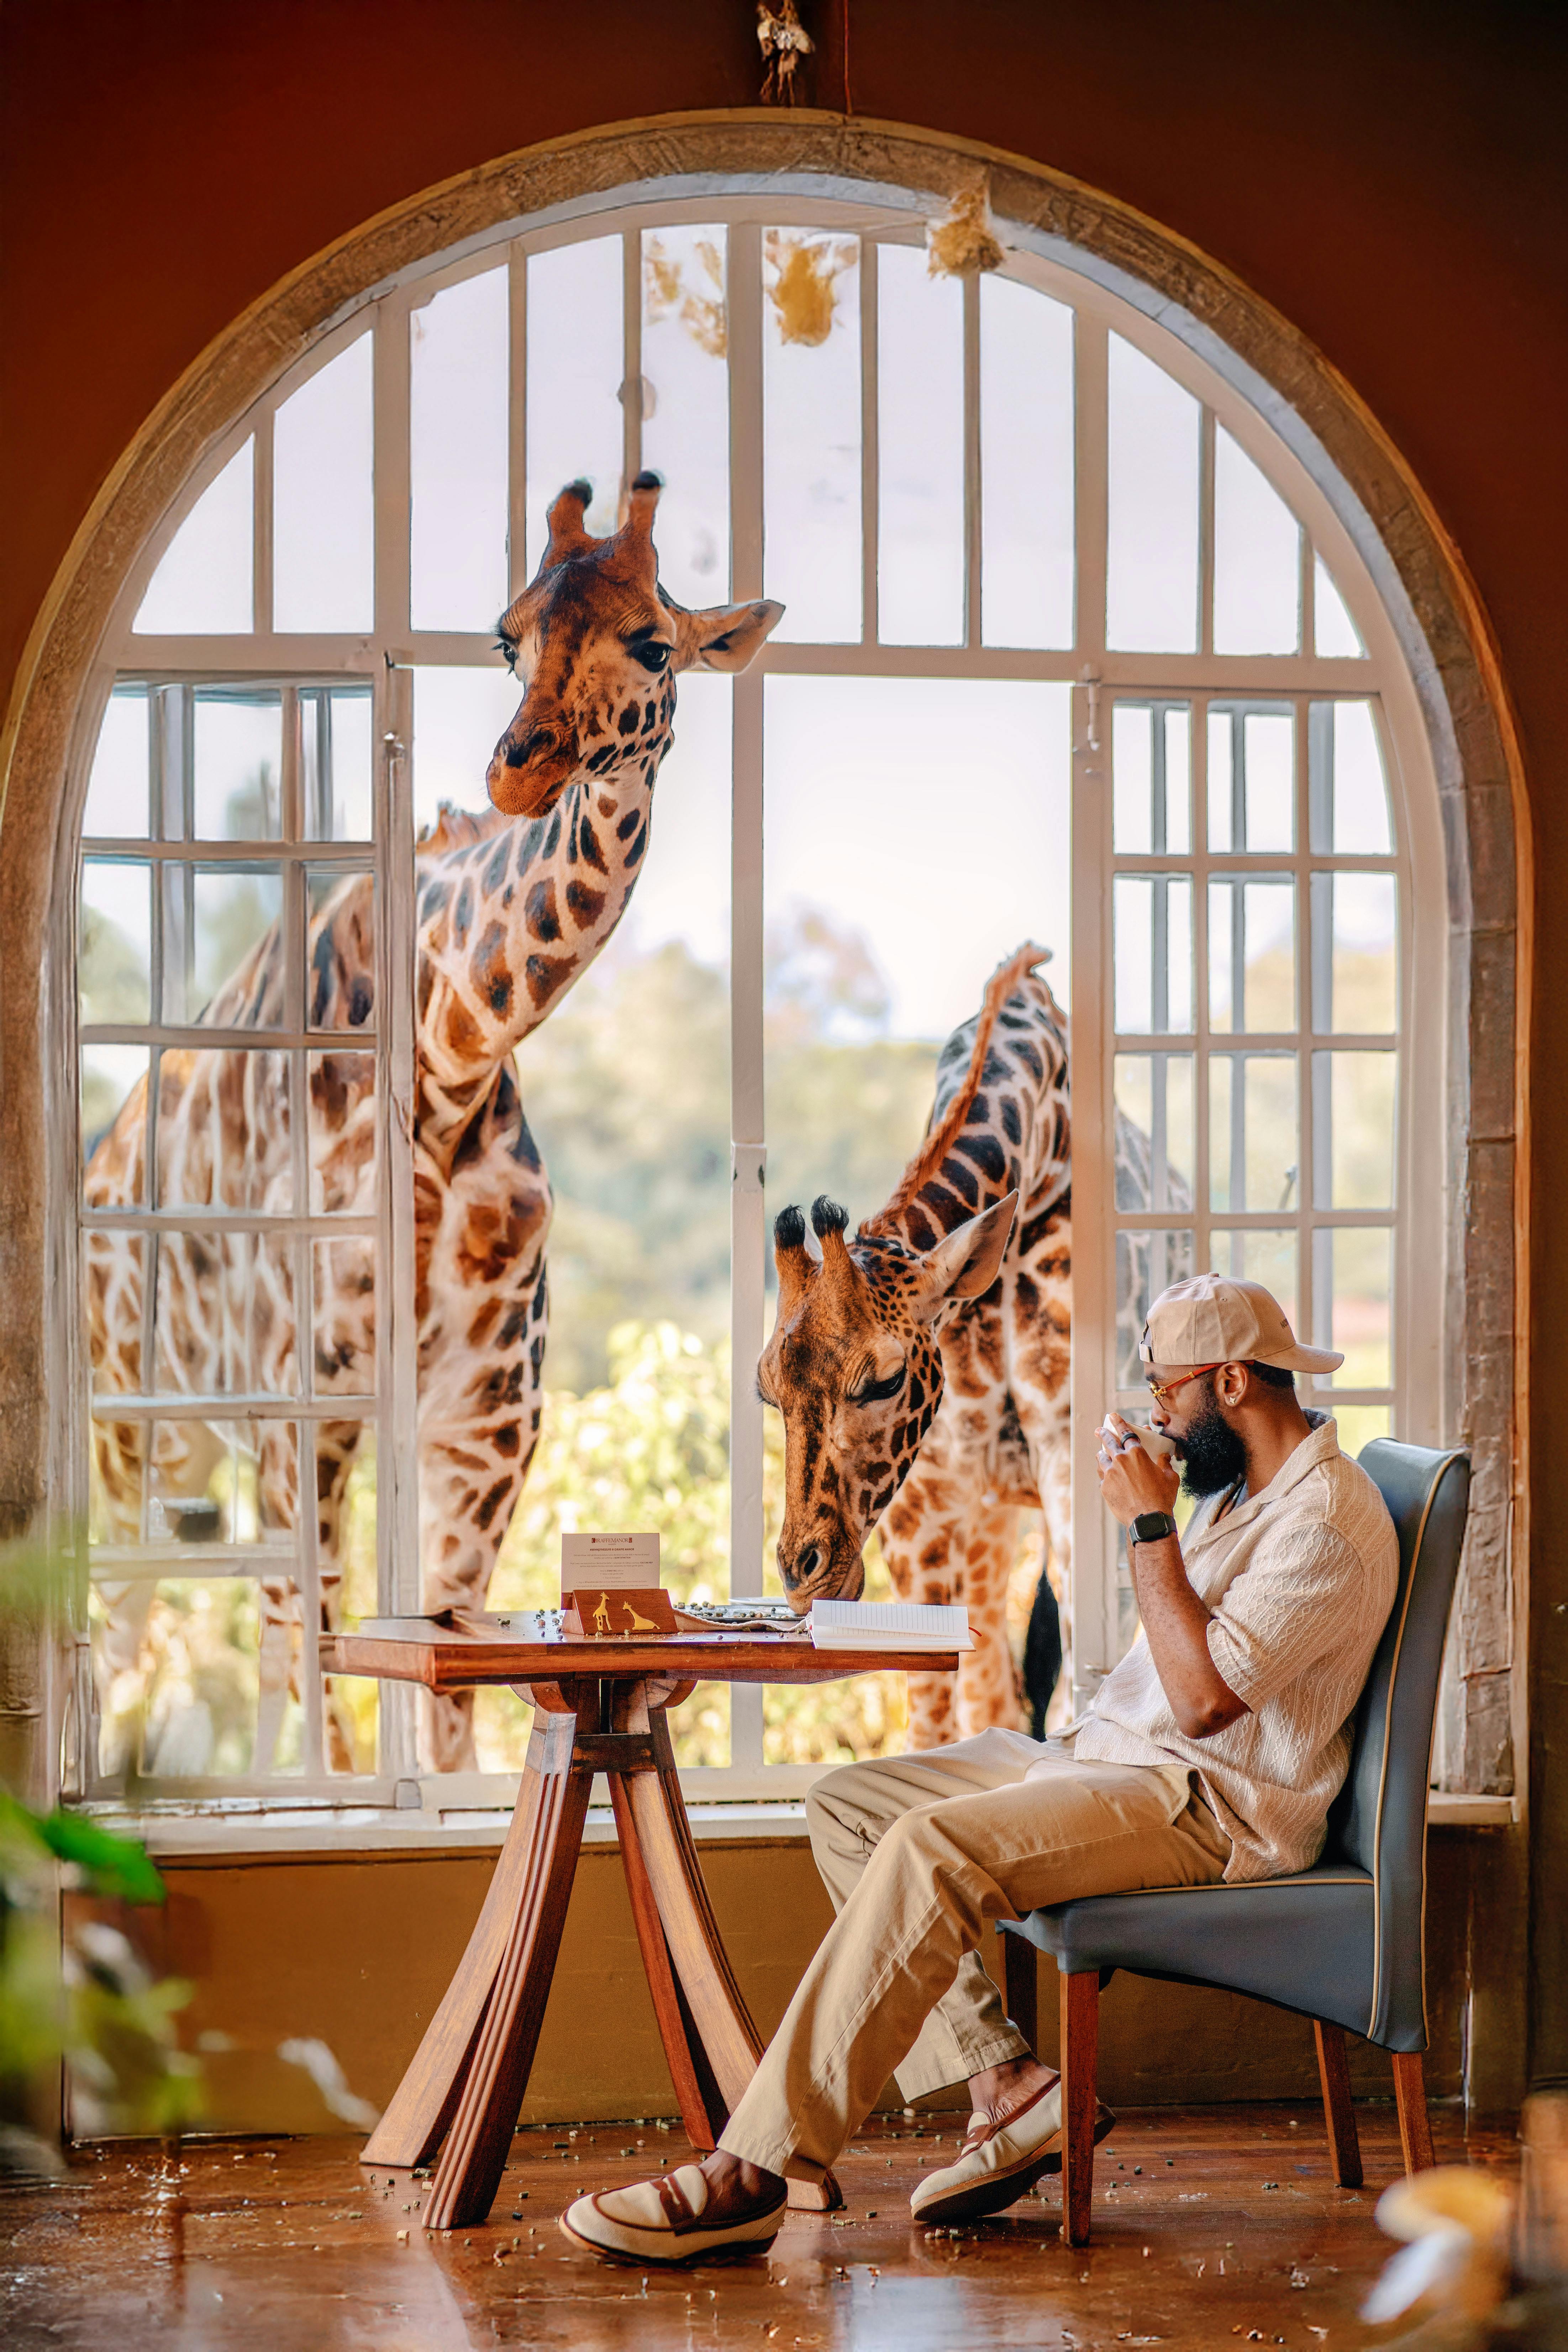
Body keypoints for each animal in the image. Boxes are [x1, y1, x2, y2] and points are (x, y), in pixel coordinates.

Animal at [86, 473, 783, 1778]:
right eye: (508, 635)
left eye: (653, 641)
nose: (518, 768)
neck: (451, 1062)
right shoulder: (306, 1396)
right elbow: (319, 1657)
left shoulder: (486, 1418)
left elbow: (452, 1686)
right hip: (138, 1423)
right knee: (144, 1616)